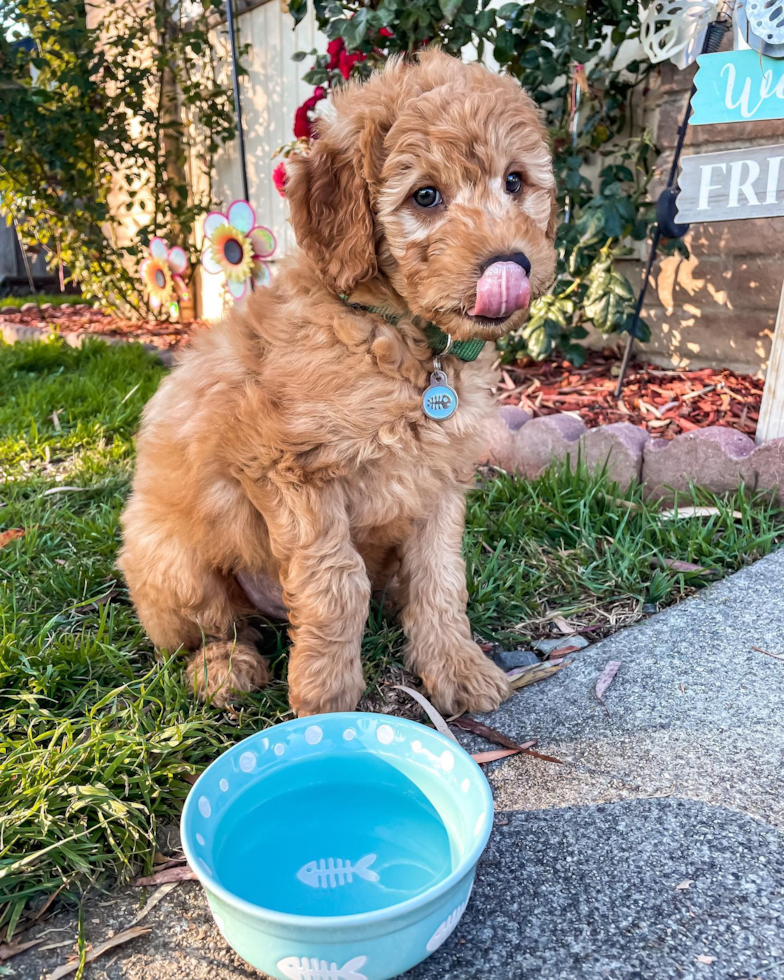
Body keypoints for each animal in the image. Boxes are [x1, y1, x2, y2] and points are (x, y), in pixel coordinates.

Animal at [118, 49, 556, 716]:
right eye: (425, 196)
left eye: (514, 182)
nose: (513, 265)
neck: (398, 333)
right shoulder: (289, 469)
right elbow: (336, 582)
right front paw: (326, 697)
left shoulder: (440, 482)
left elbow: (441, 578)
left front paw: (456, 669)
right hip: (171, 557)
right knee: (212, 628)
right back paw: (224, 668)